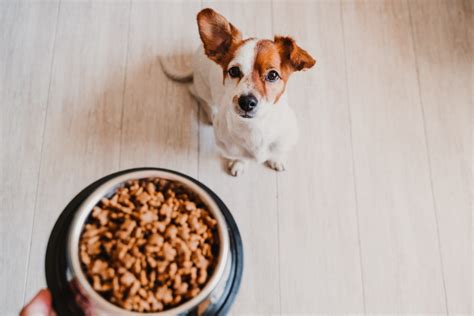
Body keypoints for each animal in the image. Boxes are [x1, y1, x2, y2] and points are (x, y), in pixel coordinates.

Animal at [161, 8, 316, 175]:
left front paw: (276, 160)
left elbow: (277, 153)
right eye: (234, 71)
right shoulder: (229, 148)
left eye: (273, 75)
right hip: (203, 89)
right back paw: (210, 114)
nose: (246, 102)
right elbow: (239, 157)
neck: (255, 127)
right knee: (197, 94)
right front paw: (239, 163)